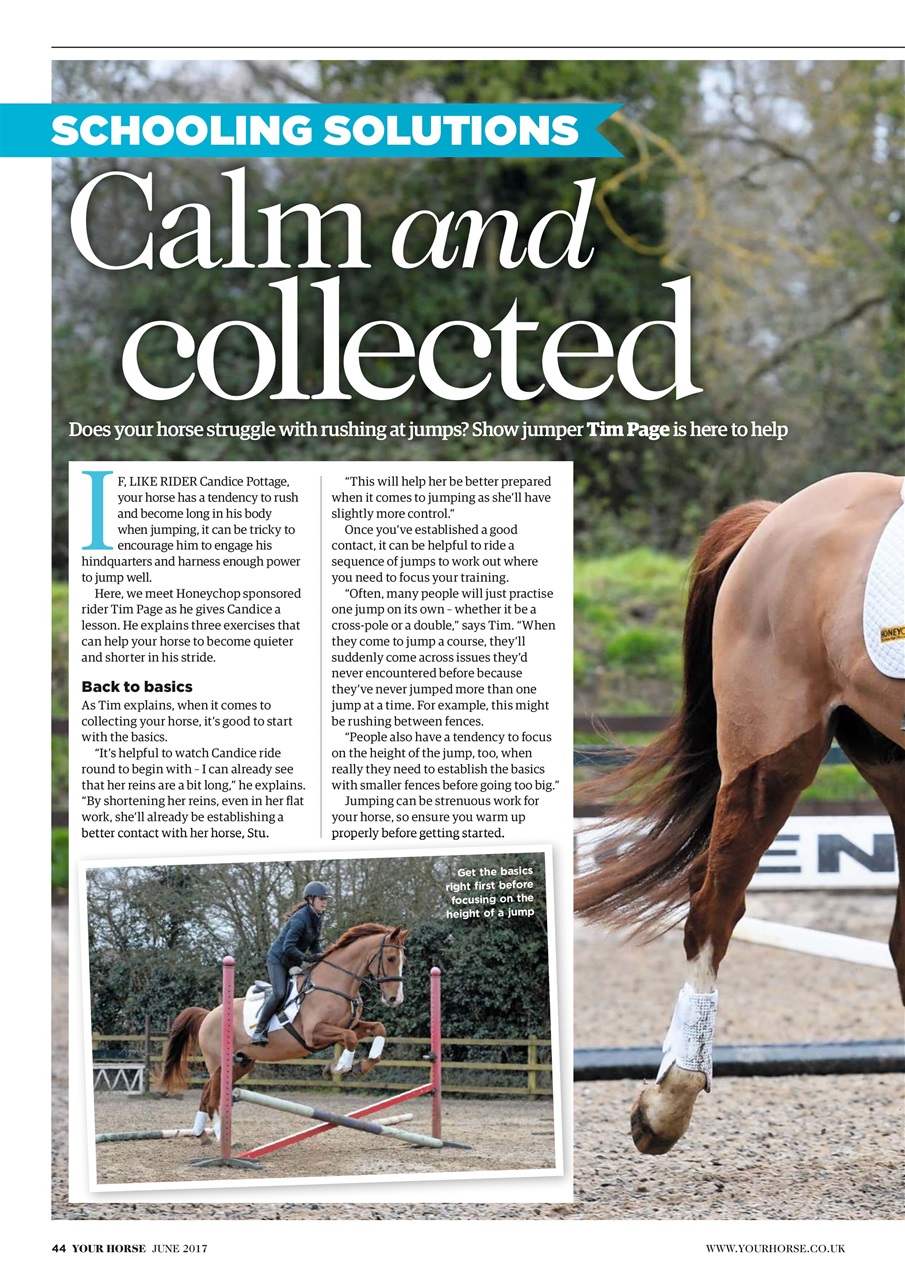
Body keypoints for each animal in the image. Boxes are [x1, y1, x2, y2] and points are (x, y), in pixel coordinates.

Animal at [156, 923, 409, 1136]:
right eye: (390, 958)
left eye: (403, 960)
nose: (395, 999)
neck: (335, 983)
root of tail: (209, 1014)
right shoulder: (315, 1034)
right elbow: (350, 1039)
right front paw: (339, 1068)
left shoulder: (351, 1026)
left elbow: (378, 1028)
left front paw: (363, 1065)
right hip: (219, 1064)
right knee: (212, 1094)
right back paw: (217, 1136)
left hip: (241, 1063)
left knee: (211, 1092)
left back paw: (203, 1134)